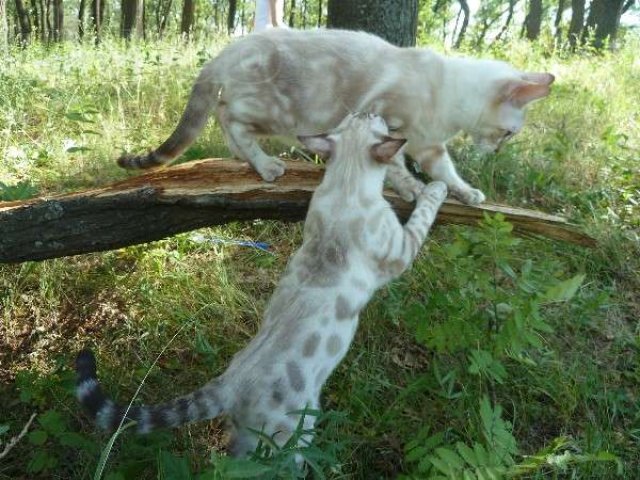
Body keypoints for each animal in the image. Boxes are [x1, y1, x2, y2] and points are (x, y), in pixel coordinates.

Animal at [77, 111, 448, 458]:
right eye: (372, 118)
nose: (371, 109)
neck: (347, 181)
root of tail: (229, 384)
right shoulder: (401, 249)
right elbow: (424, 212)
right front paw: (435, 187)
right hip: (291, 437)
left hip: (245, 437)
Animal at [119, 28, 556, 204]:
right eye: (509, 134)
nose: (497, 152)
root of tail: (227, 49)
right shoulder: (385, 121)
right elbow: (397, 166)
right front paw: (413, 190)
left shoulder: (429, 145)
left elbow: (448, 173)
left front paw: (467, 193)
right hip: (278, 112)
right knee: (229, 116)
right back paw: (265, 164)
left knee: (228, 120)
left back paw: (247, 159)